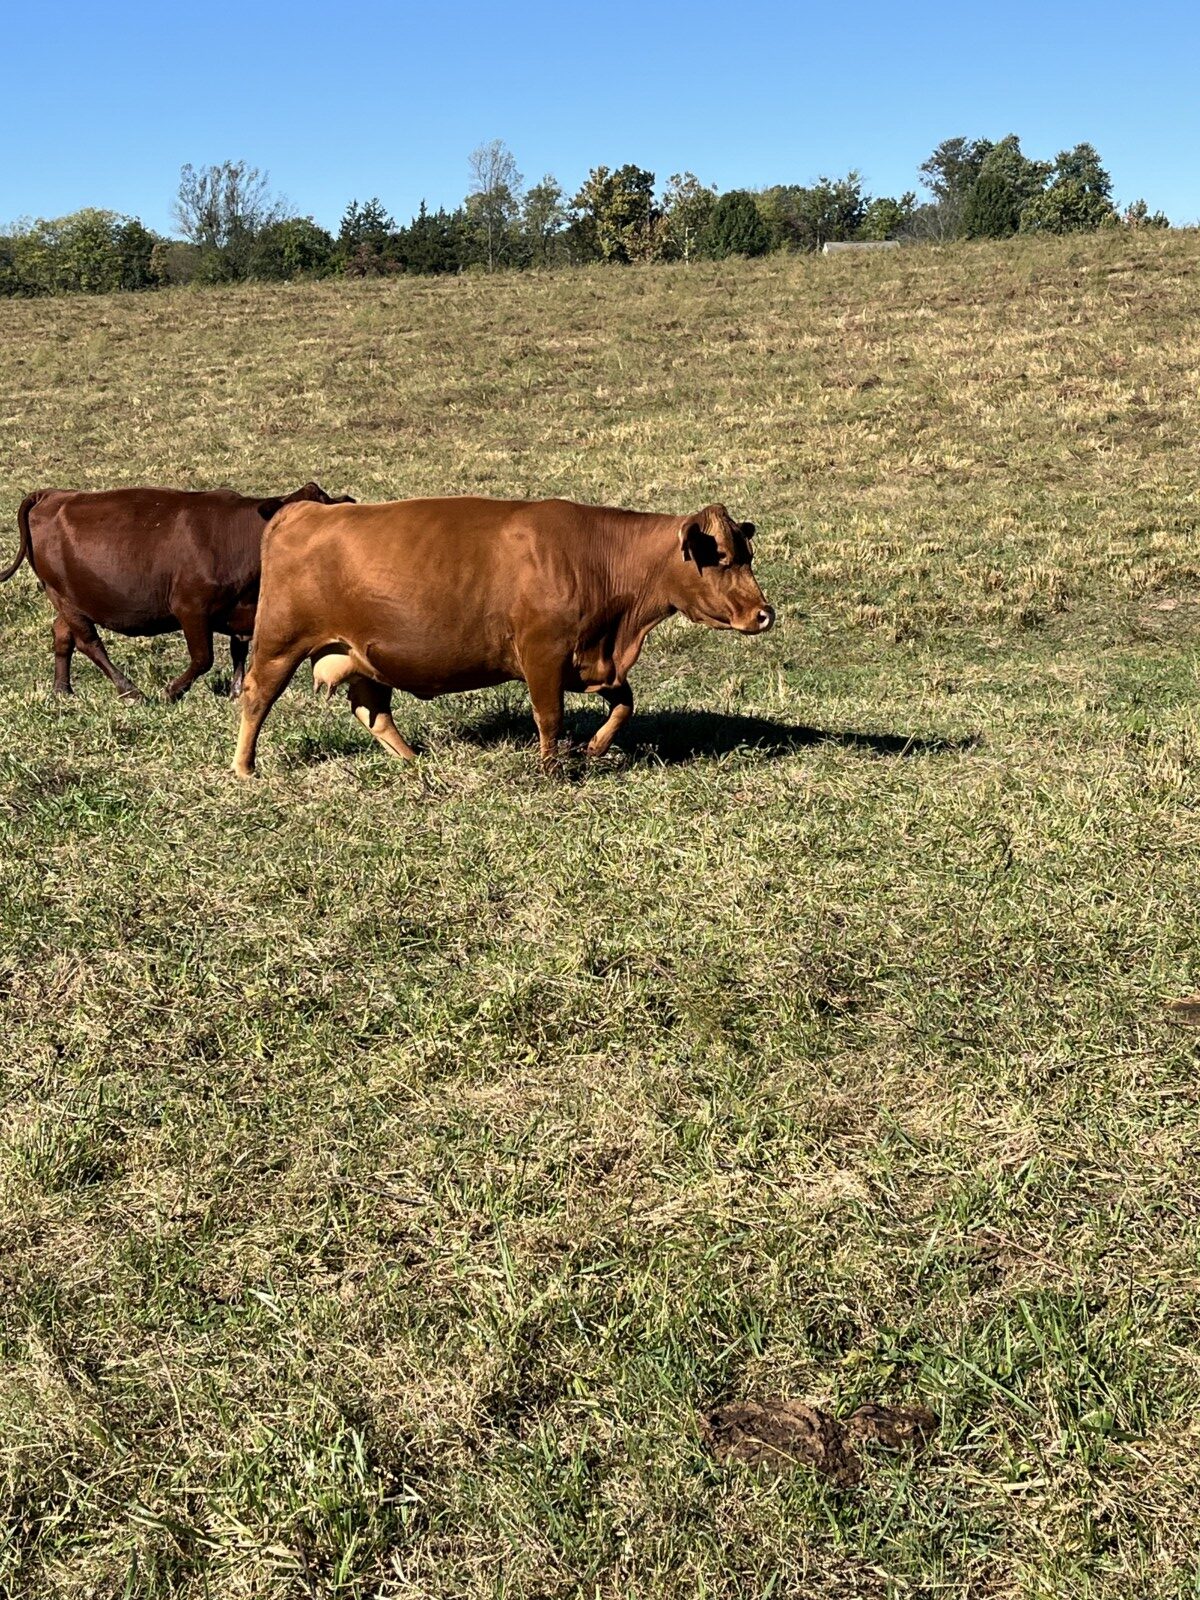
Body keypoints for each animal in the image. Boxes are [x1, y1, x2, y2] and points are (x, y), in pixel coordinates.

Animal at [2, 481, 354, 703]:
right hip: (65, 597)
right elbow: (203, 658)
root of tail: (53, 495)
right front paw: (172, 691)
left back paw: (63, 690)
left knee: (63, 635)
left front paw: (237, 691)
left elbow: (240, 649)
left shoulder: (244, 609)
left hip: (69, 600)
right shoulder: (191, 607)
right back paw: (130, 691)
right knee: (89, 642)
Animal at [232, 496, 774, 777]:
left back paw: (414, 761)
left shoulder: (592, 661)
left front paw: (595, 749)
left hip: (363, 655)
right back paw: (245, 767)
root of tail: (302, 509)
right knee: (257, 697)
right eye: (721, 558)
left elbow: (624, 705)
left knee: (372, 710)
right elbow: (549, 717)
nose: (764, 614)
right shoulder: (543, 654)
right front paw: (551, 770)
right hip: (280, 644)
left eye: (747, 554)